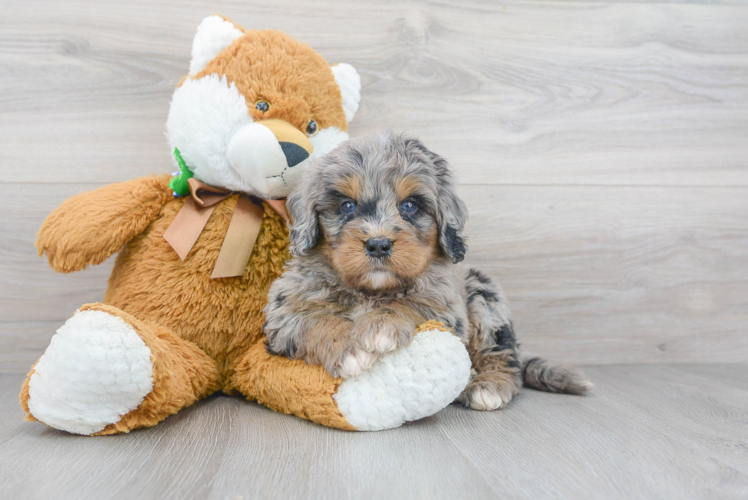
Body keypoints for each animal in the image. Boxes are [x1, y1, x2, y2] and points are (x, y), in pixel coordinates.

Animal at [262, 131, 592, 408]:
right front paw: (349, 349)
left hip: (483, 294)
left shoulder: (447, 307)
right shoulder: (283, 312)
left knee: (501, 355)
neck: (371, 291)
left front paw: (381, 325)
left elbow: (412, 302)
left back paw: (488, 386)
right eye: (346, 206)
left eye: (410, 206)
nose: (378, 244)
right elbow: (316, 321)